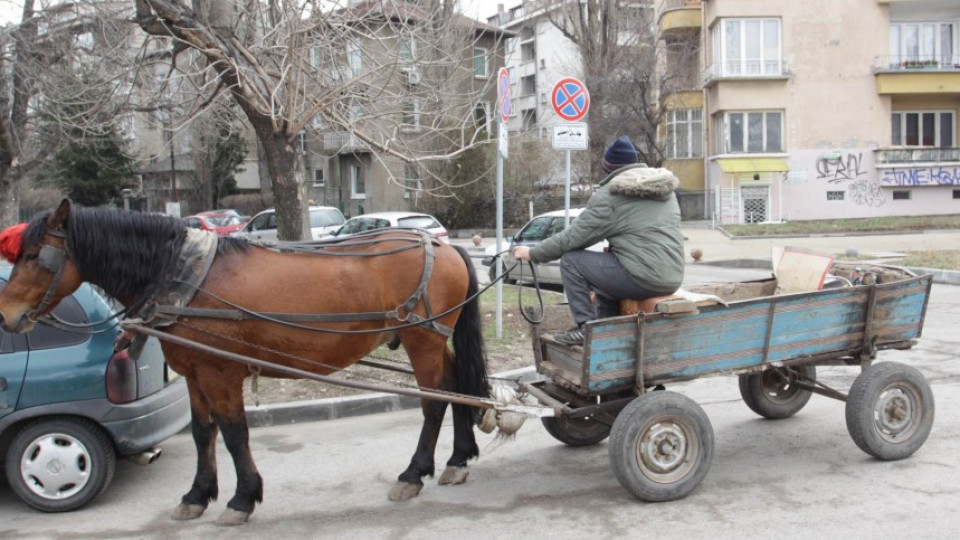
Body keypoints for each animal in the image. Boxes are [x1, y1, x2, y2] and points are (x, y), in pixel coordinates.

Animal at [0, 198, 492, 524]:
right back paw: (458, 459)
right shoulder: (196, 372)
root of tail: (443, 245)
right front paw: (198, 494)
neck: (185, 276)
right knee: (457, 385)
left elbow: (235, 434)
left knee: (434, 401)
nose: (5, 315)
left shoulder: (221, 372)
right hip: (432, 341)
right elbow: (203, 433)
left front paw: (242, 498)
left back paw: (415, 471)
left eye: (34, 256)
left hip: (421, 339)